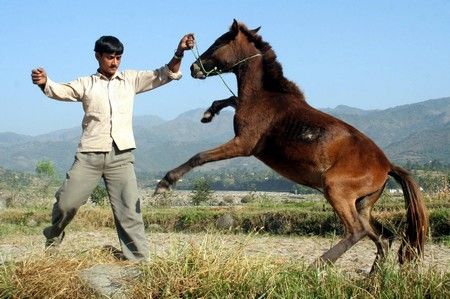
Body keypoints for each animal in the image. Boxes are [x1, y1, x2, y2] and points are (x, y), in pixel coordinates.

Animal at [156, 20, 428, 270]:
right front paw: (208, 113)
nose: (193, 67)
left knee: (357, 232)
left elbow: (200, 156)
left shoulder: (244, 145)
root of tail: (387, 165)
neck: (265, 97)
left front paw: (165, 183)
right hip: (362, 205)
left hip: (336, 190)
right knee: (384, 237)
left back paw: (316, 266)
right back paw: (371, 278)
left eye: (219, 42)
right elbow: (231, 99)